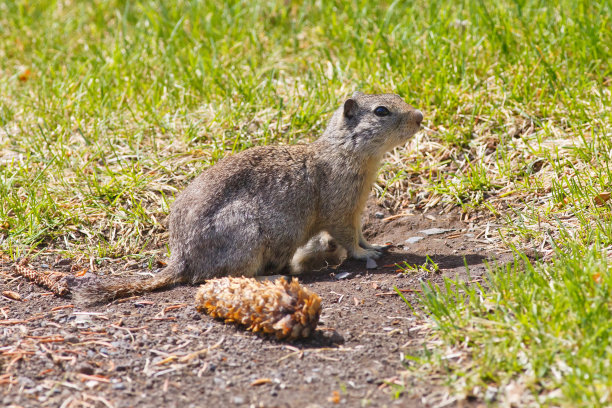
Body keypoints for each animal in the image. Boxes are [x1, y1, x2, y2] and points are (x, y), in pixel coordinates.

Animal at [75, 91, 420, 302]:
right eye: (381, 111)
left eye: (397, 97)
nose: (420, 116)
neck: (345, 152)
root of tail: (181, 259)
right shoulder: (340, 211)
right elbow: (348, 239)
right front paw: (364, 255)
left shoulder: (357, 210)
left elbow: (361, 234)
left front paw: (375, 246)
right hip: (247, 237)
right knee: (226, 276)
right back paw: (273, 278)